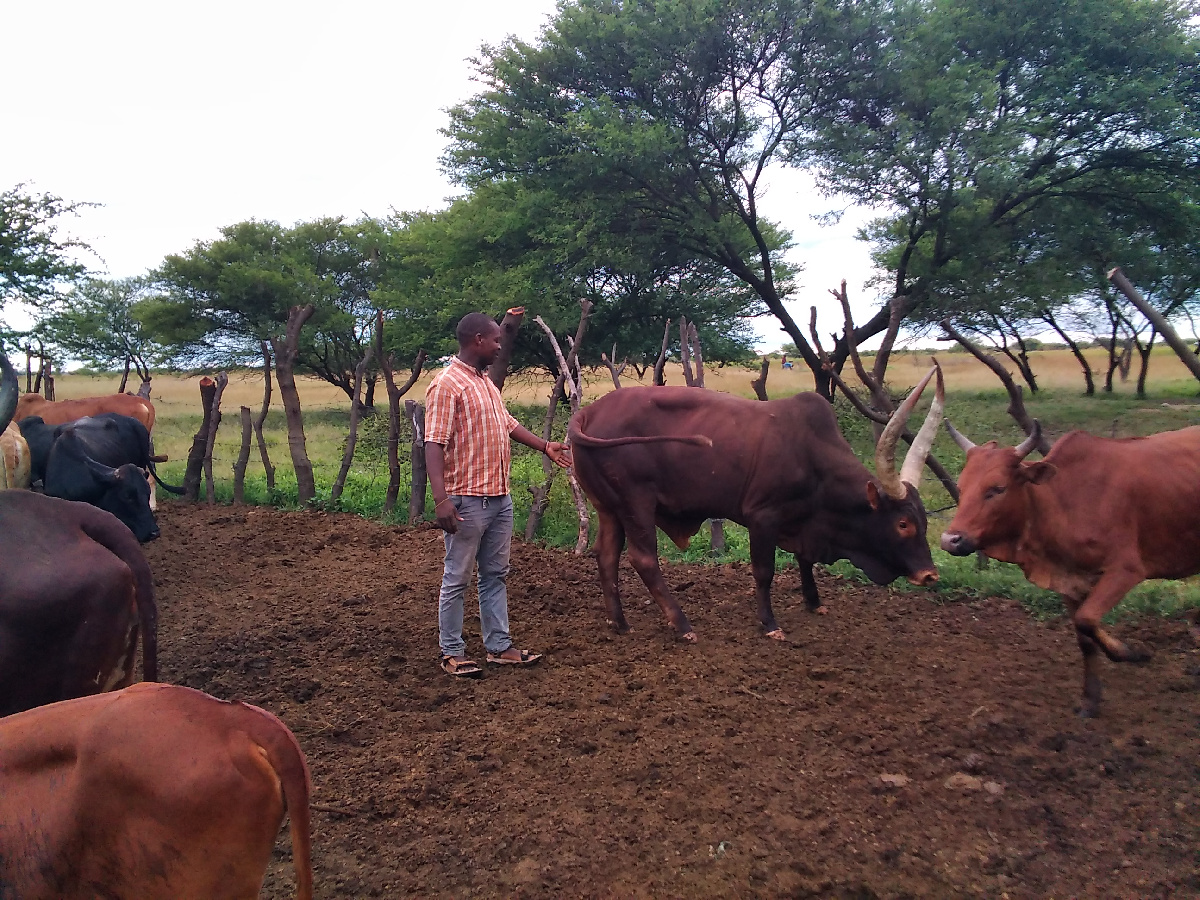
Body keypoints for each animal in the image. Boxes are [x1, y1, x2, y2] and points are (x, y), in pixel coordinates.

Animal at [571, 362, 945, 643]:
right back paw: (682, 625)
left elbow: (805, 561)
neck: (811, 452)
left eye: (924, 521)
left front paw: (814, 602)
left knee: (606, 556)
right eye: (902, 523)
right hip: (637, 504)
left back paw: (619, 623)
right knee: (644, 559)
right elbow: (764, 571)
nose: (930, 575)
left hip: (611, 509)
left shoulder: (801, 522)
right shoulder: (763, 516)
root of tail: (587, 413)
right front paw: (770, 624)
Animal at [940, 417, 1200, 720]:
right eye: (961, 487)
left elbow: (1086, 620)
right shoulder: (1069, 580)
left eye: (997, 489)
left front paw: (1133, 653)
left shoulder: (1125, 571)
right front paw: (1090, 700)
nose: (950, 540)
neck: (1064, 502)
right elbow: (1084, 637)